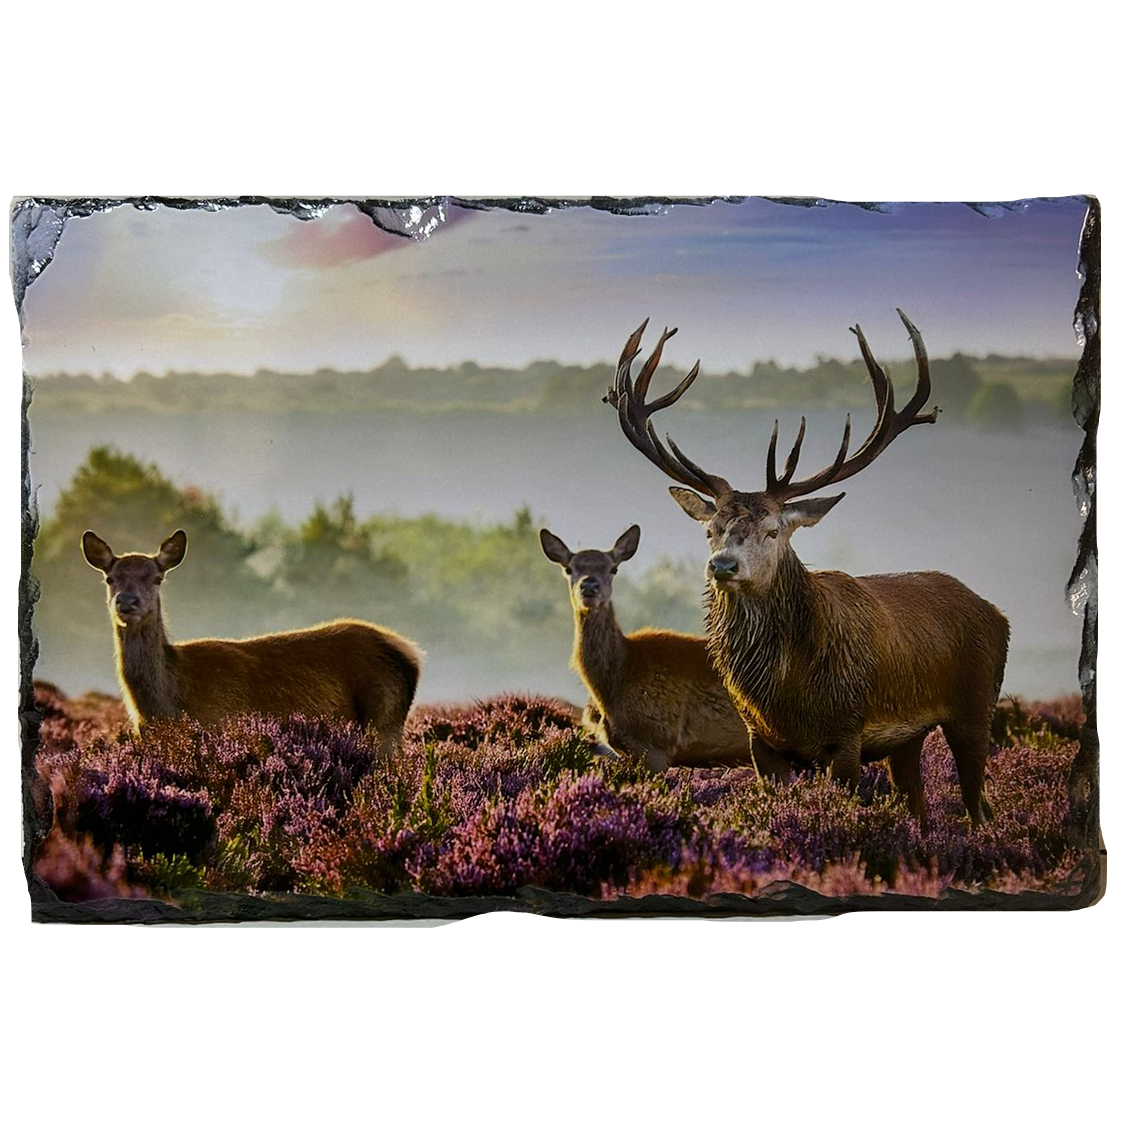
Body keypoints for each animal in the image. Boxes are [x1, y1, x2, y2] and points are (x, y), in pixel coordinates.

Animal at [80, 528, 422, 758]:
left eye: (156, 578)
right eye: (110, 578)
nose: (127, 601)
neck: (164, 706)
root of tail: (411, 652)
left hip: (385, 722)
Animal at [606, 310, 1010, 827]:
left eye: (774, 531)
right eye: (711, 529)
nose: (722, 565)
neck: (788, 696)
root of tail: (997, 613)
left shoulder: (847, 734)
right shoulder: (761, 741)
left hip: (977, 706)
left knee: (979, 807)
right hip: (909, 737)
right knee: (919, 805)